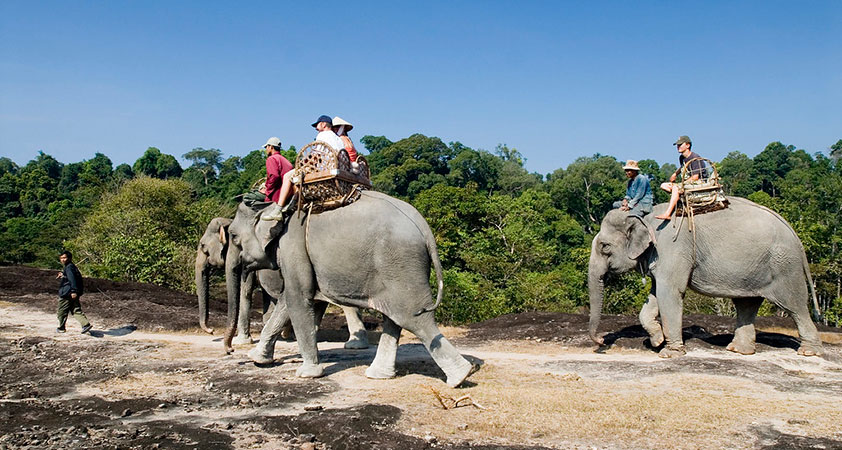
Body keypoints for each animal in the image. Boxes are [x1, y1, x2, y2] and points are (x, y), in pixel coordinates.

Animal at [256, 190, 476, 386]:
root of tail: (424, 226)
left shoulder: (293, 247)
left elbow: (297, 297)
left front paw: (303, 373)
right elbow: (304, 301)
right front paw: (260, 358)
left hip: (400, 263)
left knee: (414, 317)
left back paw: (460, 377)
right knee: (395, 318)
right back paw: (379, 375)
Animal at [588, 197, 816, 358]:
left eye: (605, 247)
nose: (601, 341)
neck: (646, 216)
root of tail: (793, 233)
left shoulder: (673, 248)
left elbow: (670, 293)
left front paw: (668, 353)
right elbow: (654, 296)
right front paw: (656, 341)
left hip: (784, 266)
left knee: (794, 305)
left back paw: (808, 351)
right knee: (746, 304)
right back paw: (738, 350)